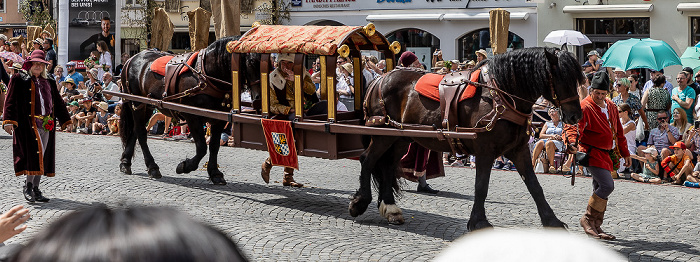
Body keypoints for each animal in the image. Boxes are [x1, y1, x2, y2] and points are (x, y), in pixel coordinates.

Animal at [119, 36, 262, 184]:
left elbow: (214, 146)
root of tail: (131, 59)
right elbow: (202, 147)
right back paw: (152, 167)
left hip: (147, 106)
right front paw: (185, 166)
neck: (206, 75)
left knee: (135, 131)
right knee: (141, 133)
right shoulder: (192, 116)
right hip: (137, 104)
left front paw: (214, 173)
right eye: (251, 61)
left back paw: (125, 162)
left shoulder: (219, 118)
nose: (258, 98)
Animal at [350, 48, 584, 230]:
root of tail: (380, 79)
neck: (501, 95)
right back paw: (360, 202)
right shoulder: (485, 150)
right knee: (367, 160)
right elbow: (481, 186)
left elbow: (535, 186)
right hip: (382, 134)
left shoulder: (519, 150)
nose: (576, 116)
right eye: (562, 78)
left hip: (401, 137)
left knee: (388, 166)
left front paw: (552, 220)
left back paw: (390, 208)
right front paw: (479, 222)